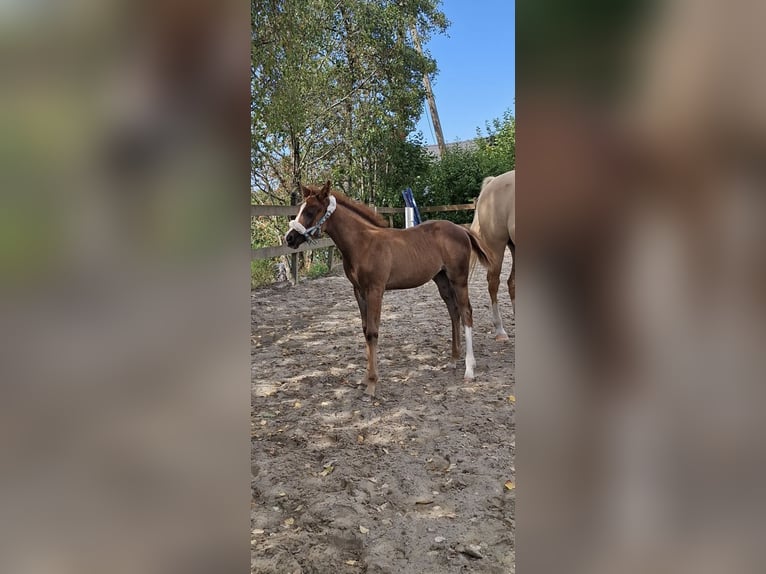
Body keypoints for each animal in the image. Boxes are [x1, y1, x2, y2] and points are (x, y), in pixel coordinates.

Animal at [284, 181, 494, 397]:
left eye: (310, 211)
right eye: (299, 209)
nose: (289, 238)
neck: (363, 243)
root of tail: (461, 229)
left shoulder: (375, 290)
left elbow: (372, 332)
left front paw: (372, 384)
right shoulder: (359, 291)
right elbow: (365, 329)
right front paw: (365, 378)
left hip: (458, 279)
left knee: (466, 312)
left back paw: (469, 368)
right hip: (441, 279)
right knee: (454, 311)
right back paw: (453, 359)